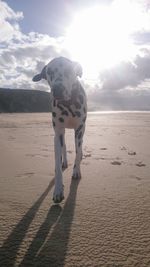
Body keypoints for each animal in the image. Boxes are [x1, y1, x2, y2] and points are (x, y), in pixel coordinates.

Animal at [32, 56, 86, 203]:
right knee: (64, 147)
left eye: (69, 70)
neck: (68, 104)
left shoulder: (79, 130)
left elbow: (77, 152)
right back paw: (65, 162)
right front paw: (58, 190)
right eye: (49, 72)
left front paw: (76, 170)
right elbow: (57, 161)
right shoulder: (58, 133)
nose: (57, 89)